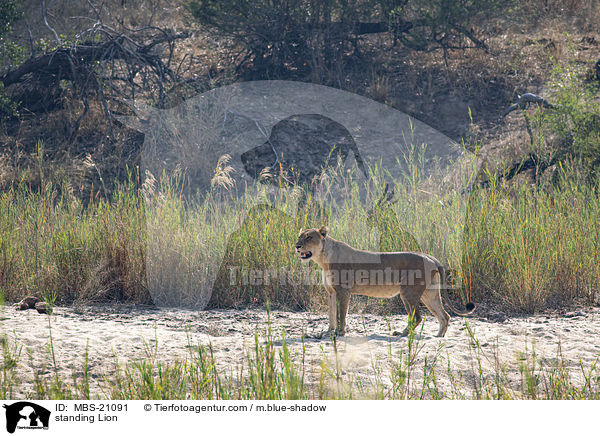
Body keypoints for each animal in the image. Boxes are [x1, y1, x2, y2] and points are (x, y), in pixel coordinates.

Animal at [294, 227, 474, 338]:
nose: (297, 246)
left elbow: (341, 314)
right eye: (300, 236)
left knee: (417, 317)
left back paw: (402, 334)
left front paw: (340, 332)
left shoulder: (343, 291)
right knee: (444, 316)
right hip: (429, 295)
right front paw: (329, 332)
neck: (323, 259)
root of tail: (430, 257)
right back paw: (438, 337)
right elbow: (331, 314)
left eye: (309, 237)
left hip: (408, 292)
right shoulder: (331, 292)